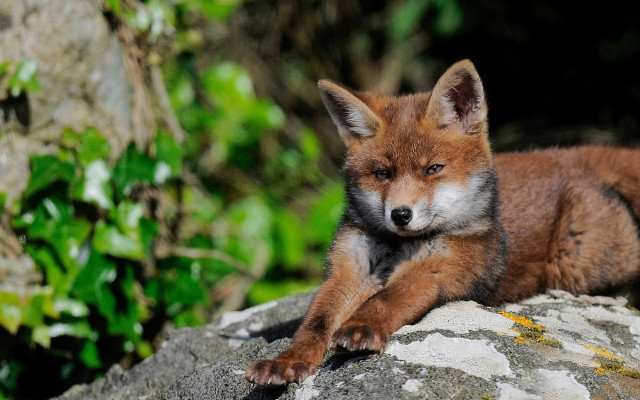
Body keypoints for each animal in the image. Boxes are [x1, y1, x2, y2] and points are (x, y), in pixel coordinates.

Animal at [244, 59, 640, 386]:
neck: (398, 247)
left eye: (433, 169)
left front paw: (362, 326)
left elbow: (390, 298)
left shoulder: (443, 264)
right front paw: (288, 360)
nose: (400, 215)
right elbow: (316, 322)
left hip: (578, 267)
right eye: (382, 174)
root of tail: (568, 155)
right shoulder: (350, 267)